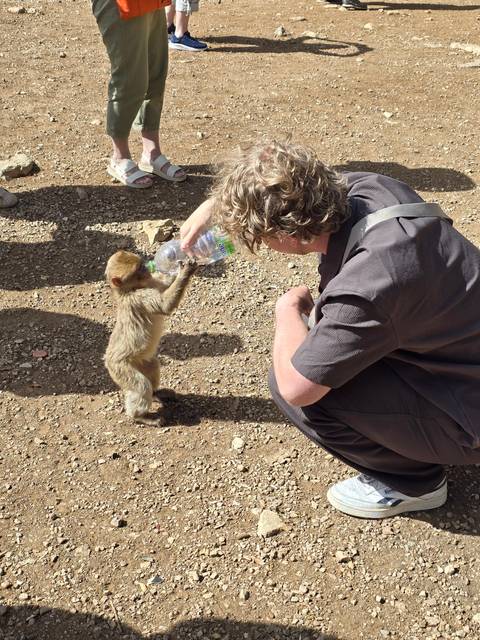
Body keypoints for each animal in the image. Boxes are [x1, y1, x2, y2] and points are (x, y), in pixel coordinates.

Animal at [104, 250, 197, 426]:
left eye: (142, 264)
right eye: (139, 268)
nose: (147, 267)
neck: (131, 289)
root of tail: (107, 360)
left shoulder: (150, 283)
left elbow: (163, 282)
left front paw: (177, 265)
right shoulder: (140, 297)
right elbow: (164, 305)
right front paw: (185, 271)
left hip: (141, 361)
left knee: (153, 366)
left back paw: (156, 393)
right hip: (120, 368)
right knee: (141, 387)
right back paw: (140, 416)